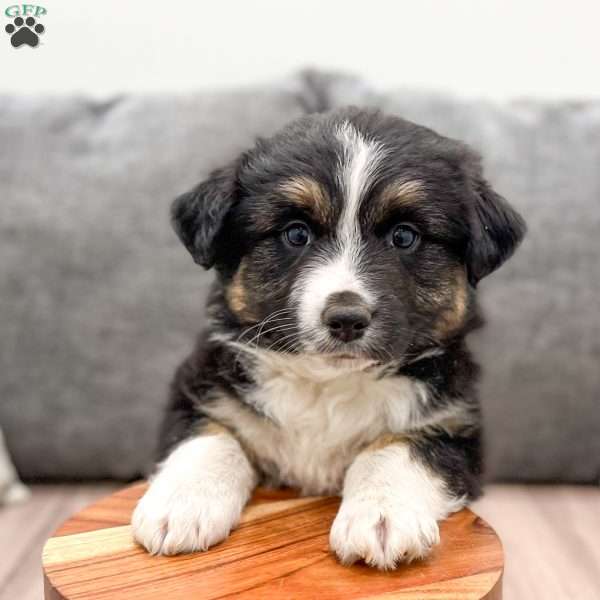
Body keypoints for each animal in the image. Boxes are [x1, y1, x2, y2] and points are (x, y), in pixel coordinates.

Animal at [131, 105, 524, 568]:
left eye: (404, 236)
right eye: (296, 233)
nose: (346, 318)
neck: (327, 382)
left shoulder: (455, 425)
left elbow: (396, 449)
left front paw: (382, 517)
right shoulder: (197, 389)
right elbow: (211, 437)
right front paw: (179, 506)